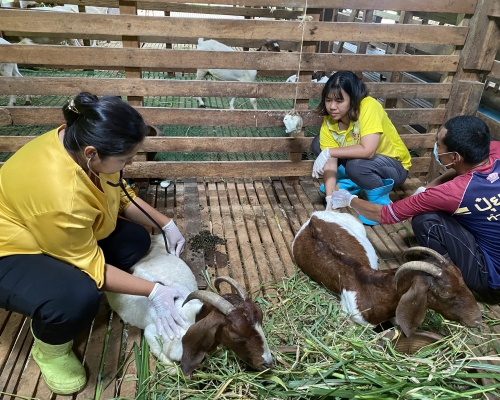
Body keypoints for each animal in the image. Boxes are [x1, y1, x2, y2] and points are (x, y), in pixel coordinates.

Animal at [103, 234, 272, 376]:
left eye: (261, 321)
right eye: (235, 335)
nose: (268, 363)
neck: (185, 318)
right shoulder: (151, 335)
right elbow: (173, 370)